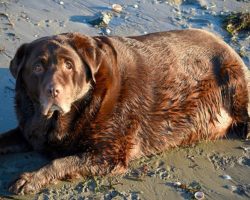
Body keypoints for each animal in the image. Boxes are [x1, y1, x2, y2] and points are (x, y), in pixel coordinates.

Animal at [0, 28, 250, 195]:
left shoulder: (108, 155)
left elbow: (60, 162)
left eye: (69, 65)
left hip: (235, 80)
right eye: (37, 67)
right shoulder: (28, 130)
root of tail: (225, 43)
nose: (54, 91)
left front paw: (30, 179)